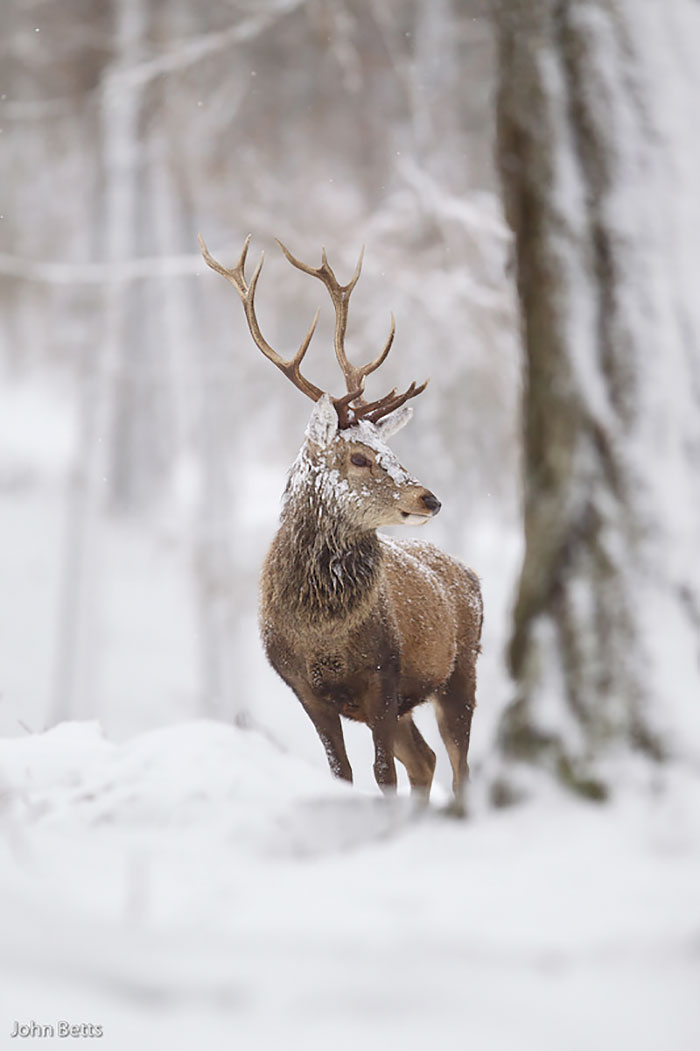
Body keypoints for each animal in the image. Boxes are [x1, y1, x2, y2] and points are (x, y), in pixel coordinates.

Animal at [198, 232, 483, 816]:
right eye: (359, 456)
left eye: (391, 449)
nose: (430, 499)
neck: (323, 634)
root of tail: (472, 576)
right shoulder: (304, 689)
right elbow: (342, 773)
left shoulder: (384, 677)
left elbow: (381, 773)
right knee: (427, 760)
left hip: (460, 671)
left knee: (458, 765)